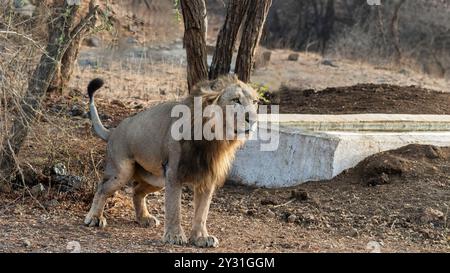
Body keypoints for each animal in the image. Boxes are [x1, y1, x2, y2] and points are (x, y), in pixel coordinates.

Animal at [83, 74, 258, 246]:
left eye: (255, 102)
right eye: (235, 100)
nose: (253, 120)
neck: (215, 137)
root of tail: (113, 131)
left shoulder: (207, 176)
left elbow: (202, 211)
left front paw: (201, 237)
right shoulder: (174, 172)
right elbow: (174, 207)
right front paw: (175, 236)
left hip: (157, 179)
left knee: (137, 191)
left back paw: (144, 218)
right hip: (123, 172)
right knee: (102, 188)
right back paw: (94, 218)